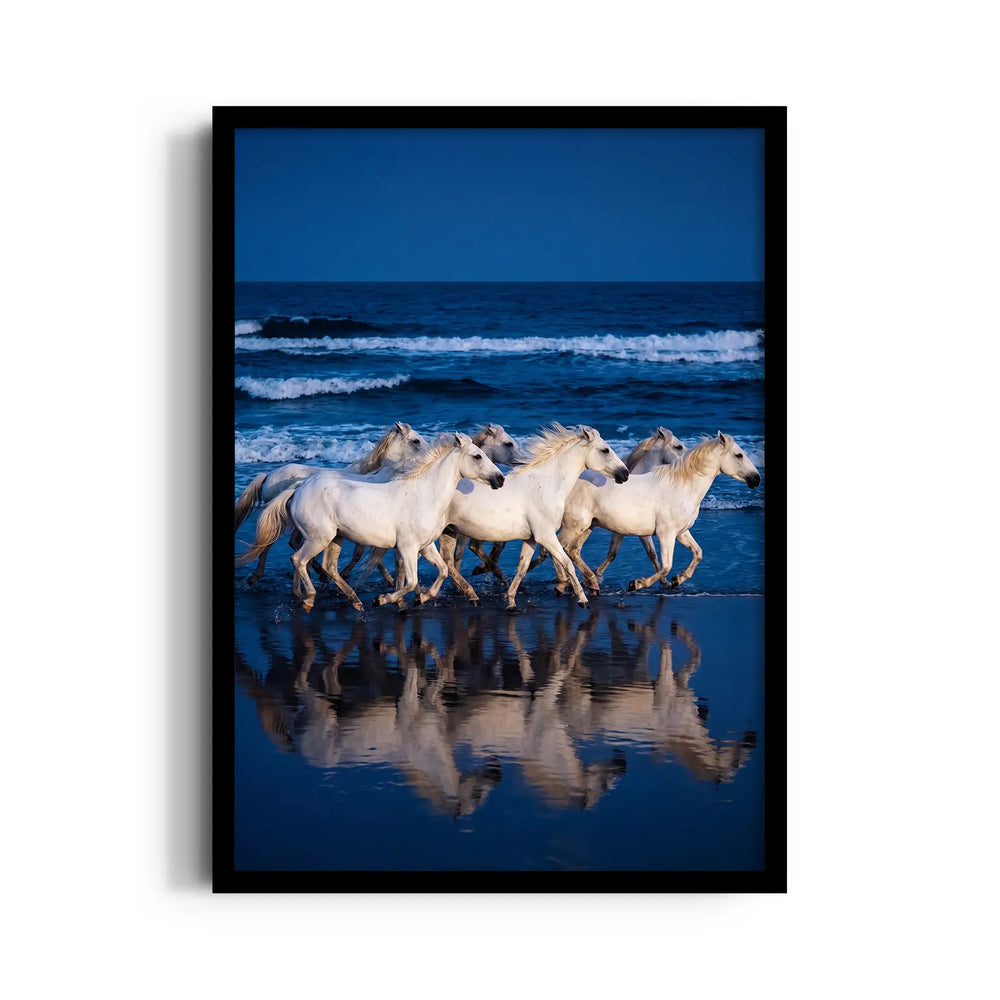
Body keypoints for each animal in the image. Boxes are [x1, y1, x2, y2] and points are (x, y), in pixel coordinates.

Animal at [238, 433, 505, 613]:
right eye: (477, 456)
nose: (500, 479)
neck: (424, 494)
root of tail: (299, 488)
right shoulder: (407, 548)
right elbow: (411, 581)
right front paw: (384, 599)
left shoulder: (426, 546)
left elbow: (442, 572)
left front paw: (422, 598)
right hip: (318, 538)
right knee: (298, 559)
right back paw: (309, 598)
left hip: (335, 538)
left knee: (329, 567)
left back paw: (355, 601)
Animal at [435, 424, 630, 611]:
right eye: (605, 450)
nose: (625, 473)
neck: (546, 484)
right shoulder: (547, 536)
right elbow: (567, 564)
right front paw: (583, 600)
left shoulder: (532, 539)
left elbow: (522, 568)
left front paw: (511, 602)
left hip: (449, 532)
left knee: (448, 562)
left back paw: (470, 594)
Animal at [549, 431, 760, 595]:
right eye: (739, 455)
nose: (756, 479)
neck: (683, 487)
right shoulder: (665, 534)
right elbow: (665, 565)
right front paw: (637, 584)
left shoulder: (681, 533)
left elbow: (698, 553)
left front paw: (678, 579)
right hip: (574, 527)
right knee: (557, 548)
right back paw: (564, 584)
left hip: (587, 526)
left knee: (571, 550)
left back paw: (589, 583)